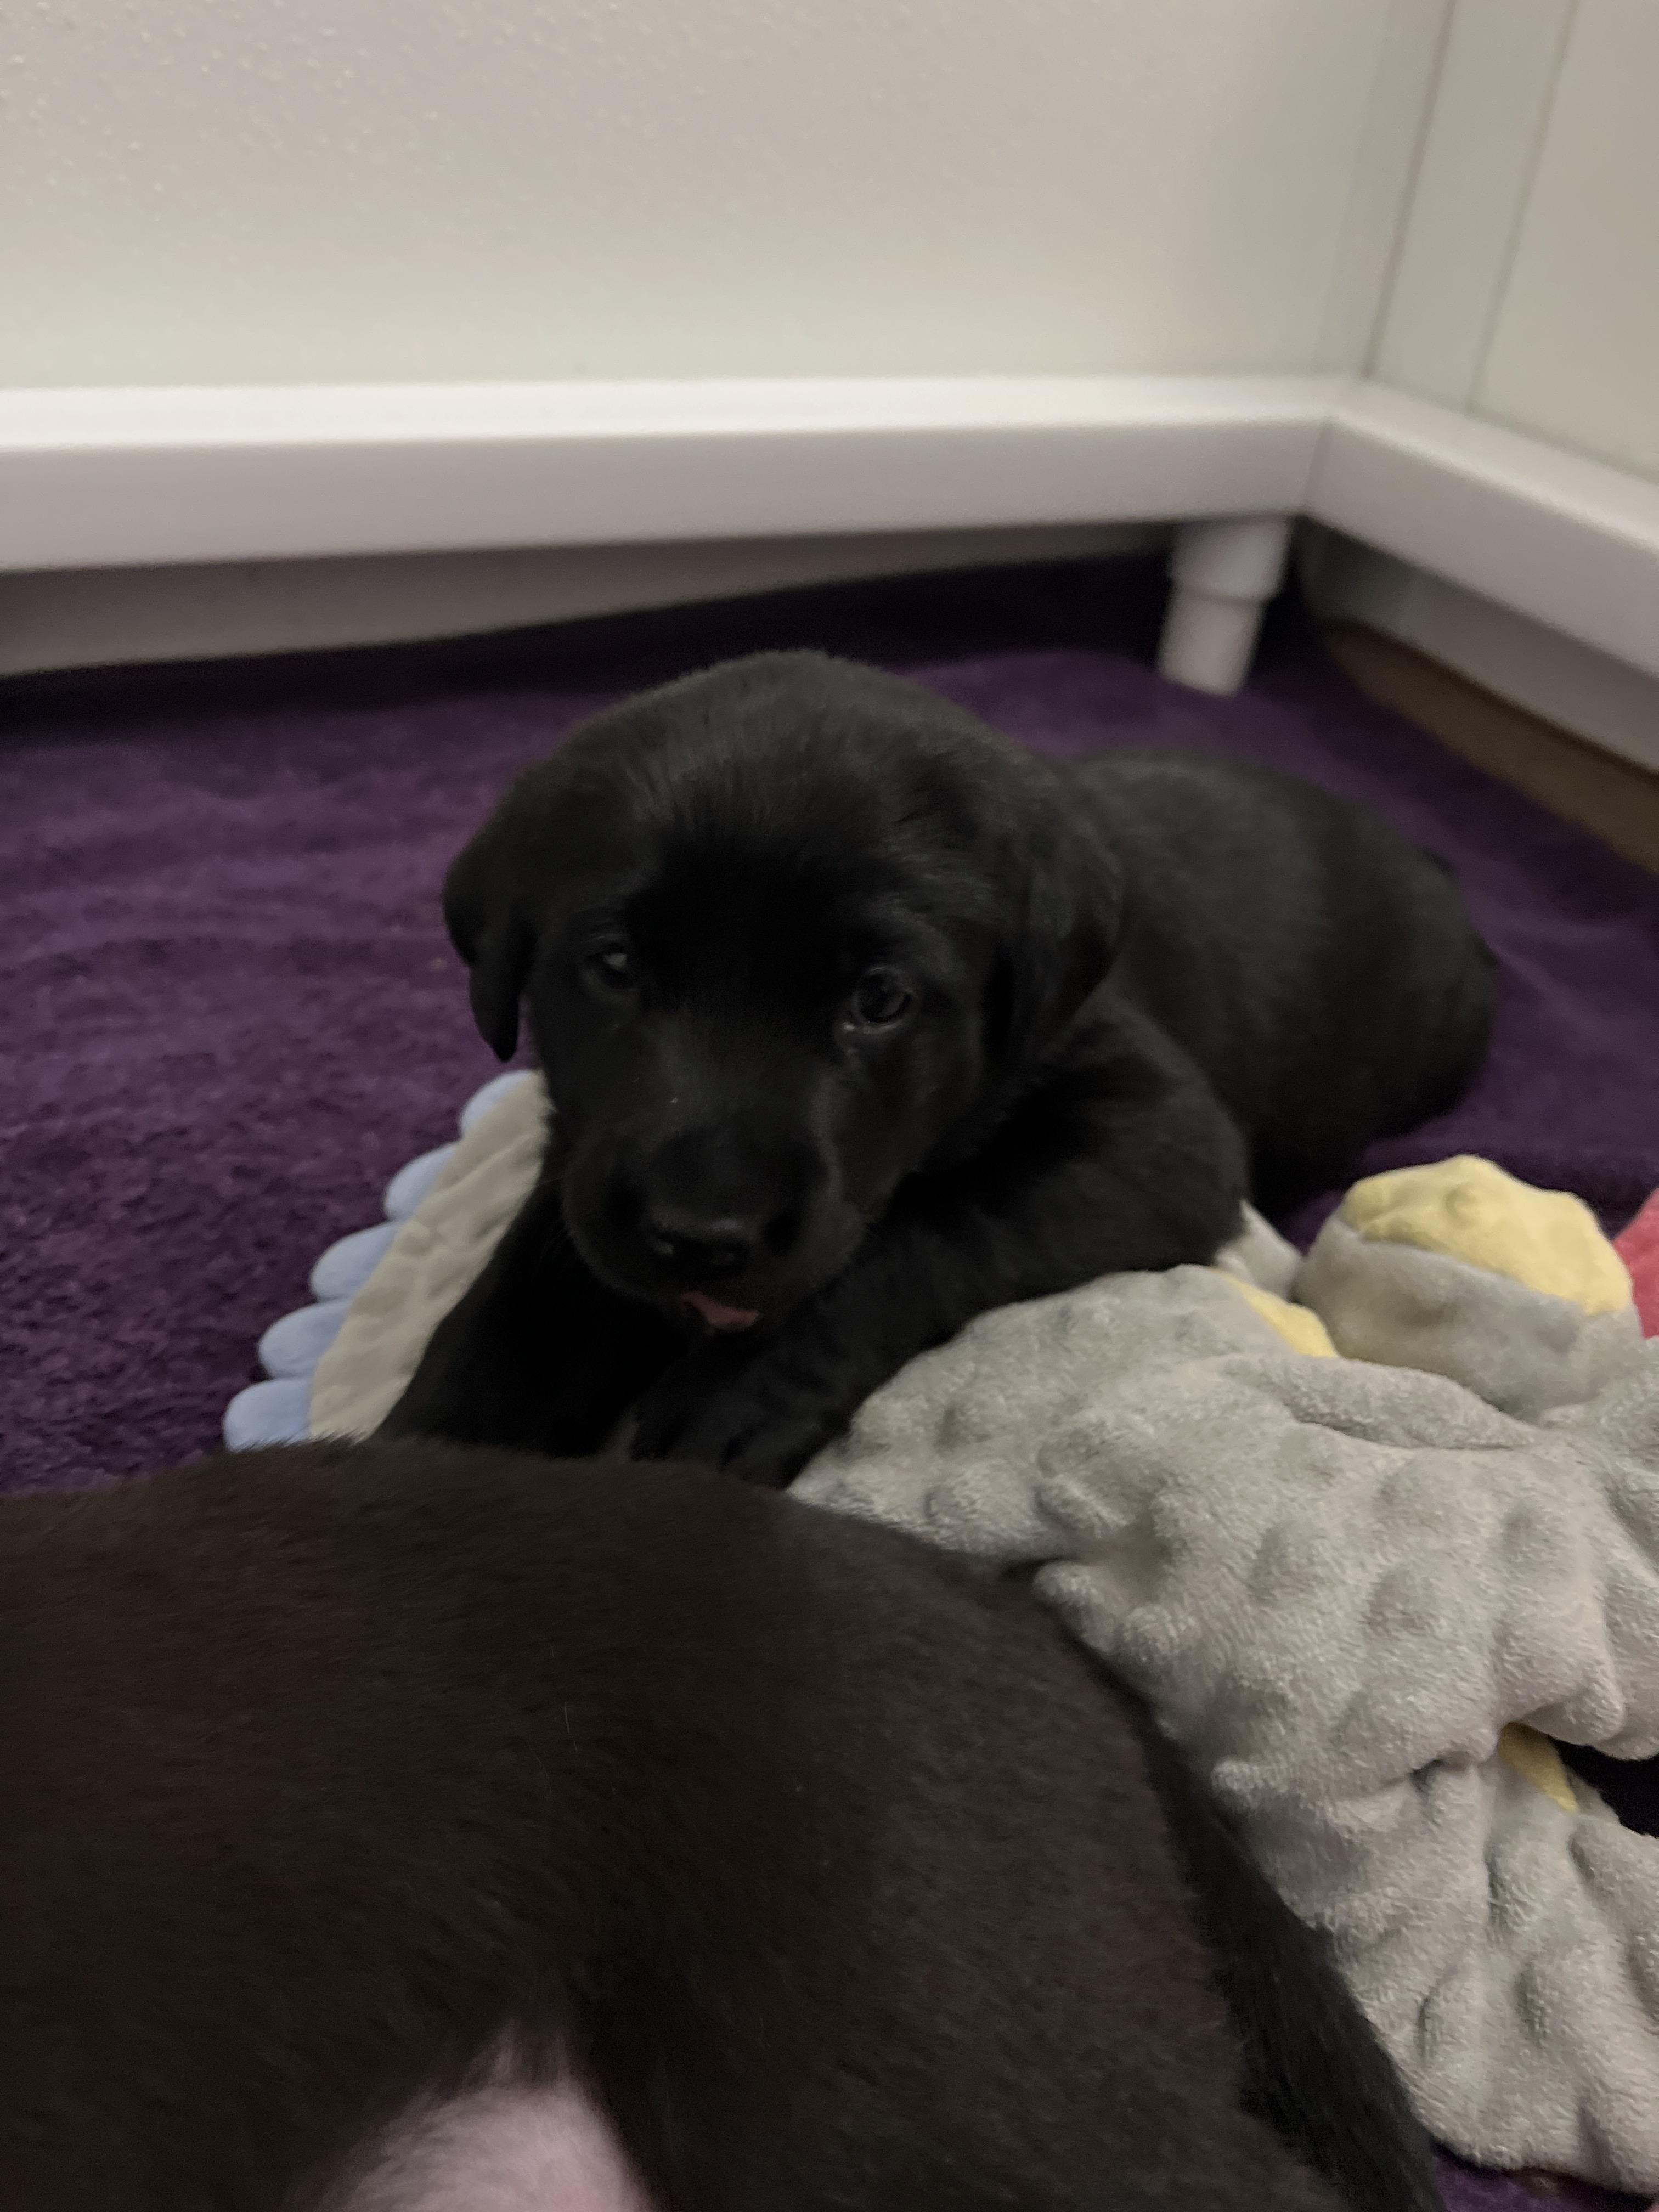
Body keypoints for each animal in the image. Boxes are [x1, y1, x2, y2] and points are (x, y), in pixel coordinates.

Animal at [384, 650, 1495, 1484]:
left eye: (880, 1000)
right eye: (613, 964)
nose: (700, 1234)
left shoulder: (1159, 1134)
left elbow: (937, 1221)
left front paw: (738, 1386)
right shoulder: (583, 1155)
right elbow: (515, 1306)